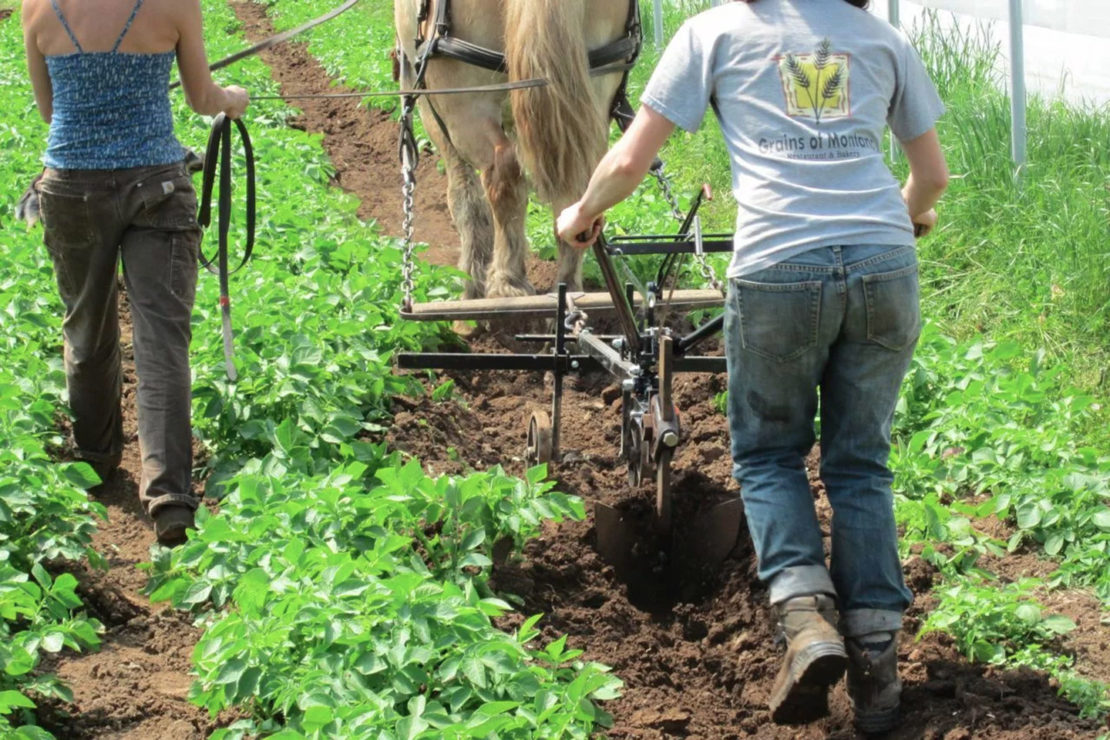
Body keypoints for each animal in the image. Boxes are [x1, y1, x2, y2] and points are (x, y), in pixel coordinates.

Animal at [392, 1, 639, 301]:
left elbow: (464, 197)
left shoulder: (434, 113)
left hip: (463, 105)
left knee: (502, 174)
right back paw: (567, 289)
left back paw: (507, 283)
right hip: (595, 89)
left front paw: (470, 285)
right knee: (580, 185)